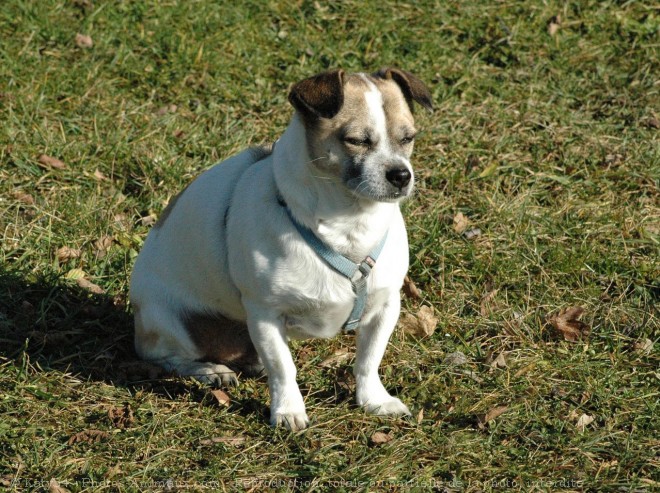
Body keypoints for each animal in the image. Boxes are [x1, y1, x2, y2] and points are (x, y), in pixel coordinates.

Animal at [131, 67, 436, 428]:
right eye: (357, 140)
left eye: (408, 138)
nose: (401, 175)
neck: (349, 223)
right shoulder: (265, 313)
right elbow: (283, 368)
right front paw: (288, 410)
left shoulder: (385, 306)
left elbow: (368, 360)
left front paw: (373, 400)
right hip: (172, 324)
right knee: (167, 357)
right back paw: (210, 370)